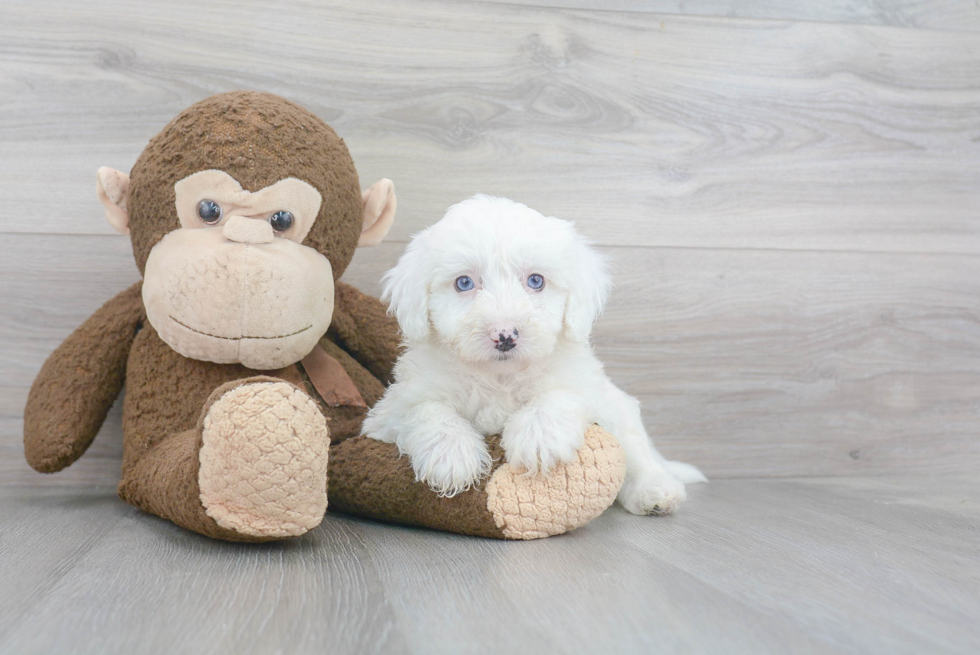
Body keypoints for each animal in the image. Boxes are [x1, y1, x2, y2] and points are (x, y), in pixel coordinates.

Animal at [360, 197, 704, 516]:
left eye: (536, 280)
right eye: (464, 283)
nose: (504, 335)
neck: (500, 376)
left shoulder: (586, 387)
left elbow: (559, 396)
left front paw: (539, 438)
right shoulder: (393, 409)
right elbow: (425, 410)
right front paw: (451, 454)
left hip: (622, 413)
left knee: (638, 453)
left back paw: (655, 491)